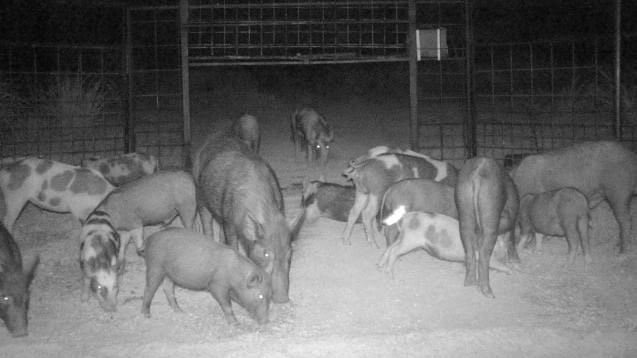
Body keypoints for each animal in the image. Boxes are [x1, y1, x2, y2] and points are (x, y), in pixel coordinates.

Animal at [142, 228, 270, 326]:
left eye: (268, 296)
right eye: (260, 296)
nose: (266, 321)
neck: (236, 274)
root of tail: (149, 239)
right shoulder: (216, 285)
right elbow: (227, 305)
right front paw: (236, 324)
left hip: (169, 273)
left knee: (167, 289)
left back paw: (180, 311)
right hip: (155, 265)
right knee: (149, 289)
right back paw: (147, 315)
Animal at [194, 133, 294, 304]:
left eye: (289, 253)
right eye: (266, 254)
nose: (282, 298)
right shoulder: (229, 221)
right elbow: (233, 245)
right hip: (199, 193)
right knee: (206, 222)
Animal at [378, 211, 506, 276]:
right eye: (504, 249)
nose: (506, 257)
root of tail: (405, 218)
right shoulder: (488, 256)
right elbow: (498, 265)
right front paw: (510, 270)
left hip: (403, 237)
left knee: (390, 248)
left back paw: (379, 265)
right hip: (410, 240)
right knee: (394, 251)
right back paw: (389, 272)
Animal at [452, 157, 516, 300]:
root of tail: (478, 172)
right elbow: (511, 239)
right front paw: (516, 262)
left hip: (463, 205)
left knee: (469, 249)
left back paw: (469, 283)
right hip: (490, 209)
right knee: (483, 254)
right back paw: (489, 293)